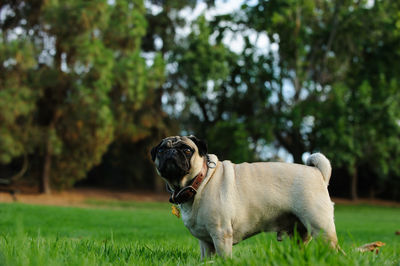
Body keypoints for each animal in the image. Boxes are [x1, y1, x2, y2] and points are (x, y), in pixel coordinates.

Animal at [152, 135, 340, 258]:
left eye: (186, 149)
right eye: (161, 149)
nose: (171, 152)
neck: (200, 180)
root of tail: (317, 172)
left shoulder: (221, 235)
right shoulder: (205, 242)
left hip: (321, 227)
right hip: (300, 234)